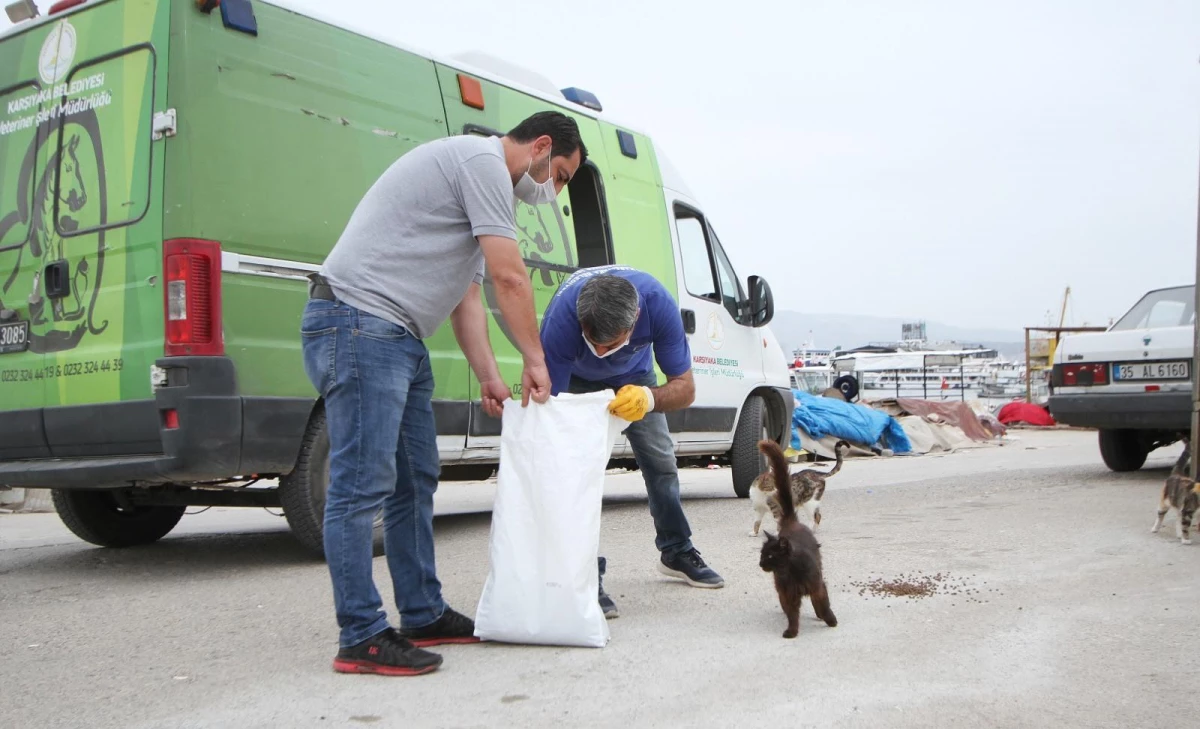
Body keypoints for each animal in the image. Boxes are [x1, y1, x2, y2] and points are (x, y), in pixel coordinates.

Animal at [753, 438, 840, 637]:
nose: (760, 563)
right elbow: (792, 613)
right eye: (761, 555)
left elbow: (824, 604)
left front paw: (831, 621)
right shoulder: (787, 593)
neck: (790, 571)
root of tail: (791, 522)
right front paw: (791, 632)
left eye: (770, 555)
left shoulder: (817, 586)